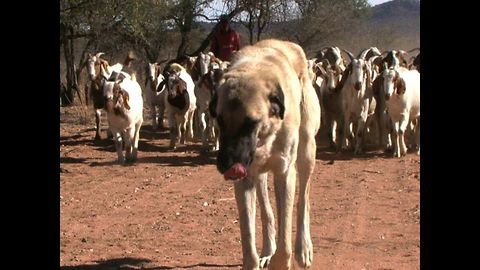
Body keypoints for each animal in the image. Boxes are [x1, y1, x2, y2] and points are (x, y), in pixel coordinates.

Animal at [211, 39, 320, 268]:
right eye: (219, 120)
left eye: (250, 123)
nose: (226, 165)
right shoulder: (244, 181)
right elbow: (248, 243)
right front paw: (258, 257)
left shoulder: (285, 174)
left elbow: (285, 244)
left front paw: (284, 259)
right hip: (258, 174)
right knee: (266, 211)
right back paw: (268, 250)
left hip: (306, 151)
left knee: (303, 201)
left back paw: (303, 247)